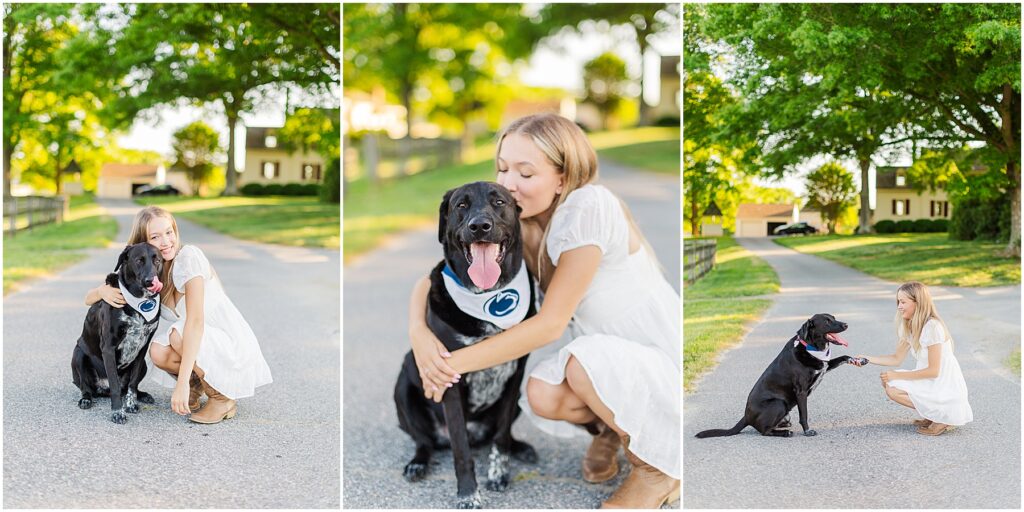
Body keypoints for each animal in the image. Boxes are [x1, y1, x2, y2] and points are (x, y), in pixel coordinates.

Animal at [73, 243, 163, 423]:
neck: (138, 300)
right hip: (78, 354)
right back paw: (86, 399)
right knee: (87, 388)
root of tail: (102, 390)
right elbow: (114, 384)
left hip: (143, 364)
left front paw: (131, 404)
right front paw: (117, 412)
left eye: (157, 260)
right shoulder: (108, 347)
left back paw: (143, 395)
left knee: (127, 387)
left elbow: (133, 384)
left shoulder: (142, 348)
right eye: (139, 260)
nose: (150, 282)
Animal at [391, 181, 540, 507]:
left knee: (500, 432)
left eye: (499, 202)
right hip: (403, 386)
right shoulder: (448, 379)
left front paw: (498, 473)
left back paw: (522, 448)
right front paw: (469, 493)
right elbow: (460, 449)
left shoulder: (515, 374)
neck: (487, 296)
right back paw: (417, 463)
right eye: (461, 205)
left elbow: (500, 436)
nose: (480, 226)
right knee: (424, 441)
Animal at [696, 313, 856, 438]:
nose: (846, 324)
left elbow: (843, 357)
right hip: (778, 404)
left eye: (833, 317)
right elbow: (804, 414)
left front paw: (856, 359)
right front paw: (807, 431)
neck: (811, 347)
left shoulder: (824, 366)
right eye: (827, 321)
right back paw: (785, 433)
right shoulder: (801, 391)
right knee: (764, 431)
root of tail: (746, 417)